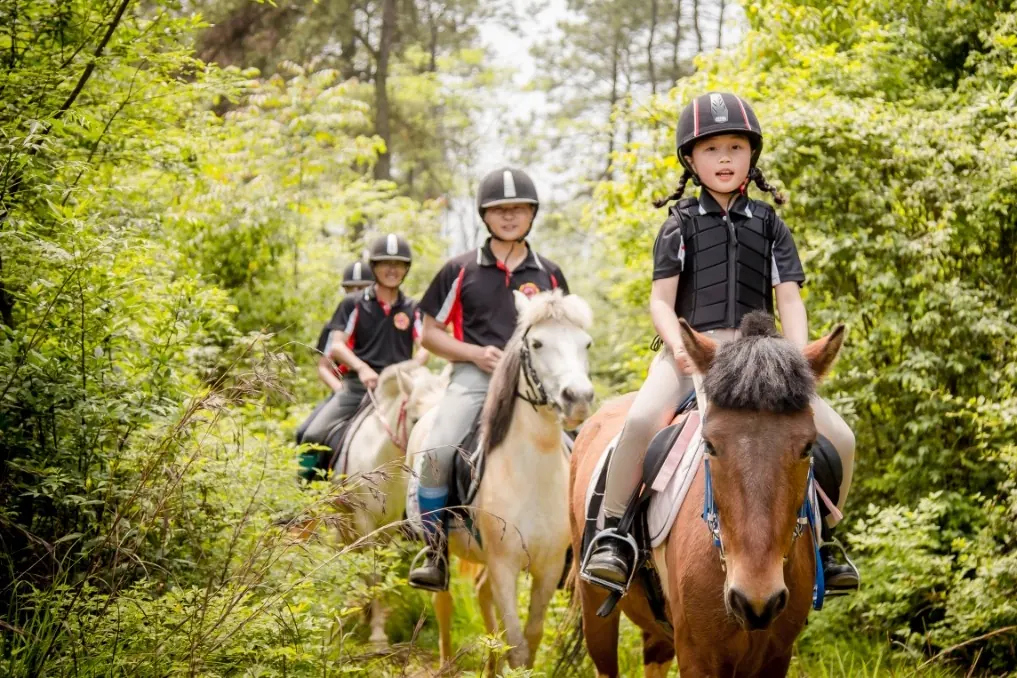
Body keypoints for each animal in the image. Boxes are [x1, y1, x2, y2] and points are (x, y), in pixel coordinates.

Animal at [568, 313, 845, 677]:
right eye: (710, 445)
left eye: (808, 447)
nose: (756, 599)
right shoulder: (698, 656)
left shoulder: (776, 656)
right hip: (594, 606)